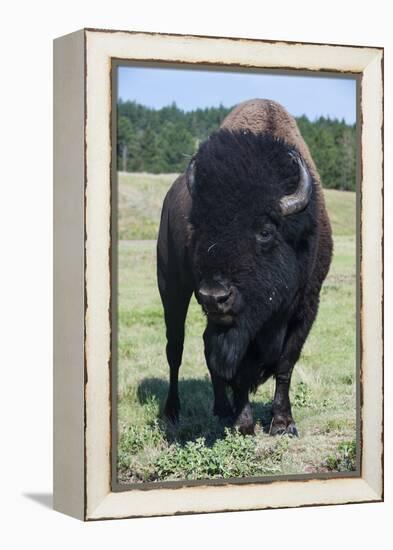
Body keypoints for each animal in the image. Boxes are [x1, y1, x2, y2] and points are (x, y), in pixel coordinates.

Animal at [156, 98, 330, 436]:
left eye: (265, 230)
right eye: (198, 226)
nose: (214, 296)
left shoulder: (306, 306)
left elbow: (286, 364)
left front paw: (282, 423)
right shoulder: (237, 326)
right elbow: (238, 368)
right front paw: (244, 424)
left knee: (205, 348)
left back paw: (221, 409)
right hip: (172, 288)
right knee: (176, 348)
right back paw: (173, 411)